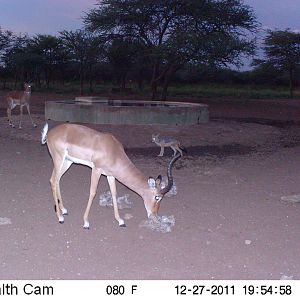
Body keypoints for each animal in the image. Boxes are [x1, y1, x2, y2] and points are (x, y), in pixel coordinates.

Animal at [41, 123, 180, 229]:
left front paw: (120, 221)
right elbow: (92, 192)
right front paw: (86, 222)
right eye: (157, 197)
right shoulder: (96, 170)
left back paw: (64, 210)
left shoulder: (110, 175)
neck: (113, 151)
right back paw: (60, 217)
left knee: (57, 180)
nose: (155, 216)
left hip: (68, 162)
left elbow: (114, 193)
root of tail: (50, 133)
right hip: (58, 159)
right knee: (52, 180)